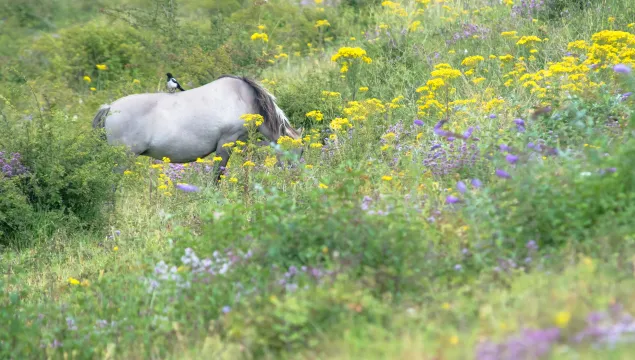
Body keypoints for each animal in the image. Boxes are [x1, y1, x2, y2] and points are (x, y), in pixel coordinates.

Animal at [91, 74, 306, 181]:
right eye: (300, 150)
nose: (297, 177)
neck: (244, 98)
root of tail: (110, 108)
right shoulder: (226, 143)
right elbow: (217, 175)